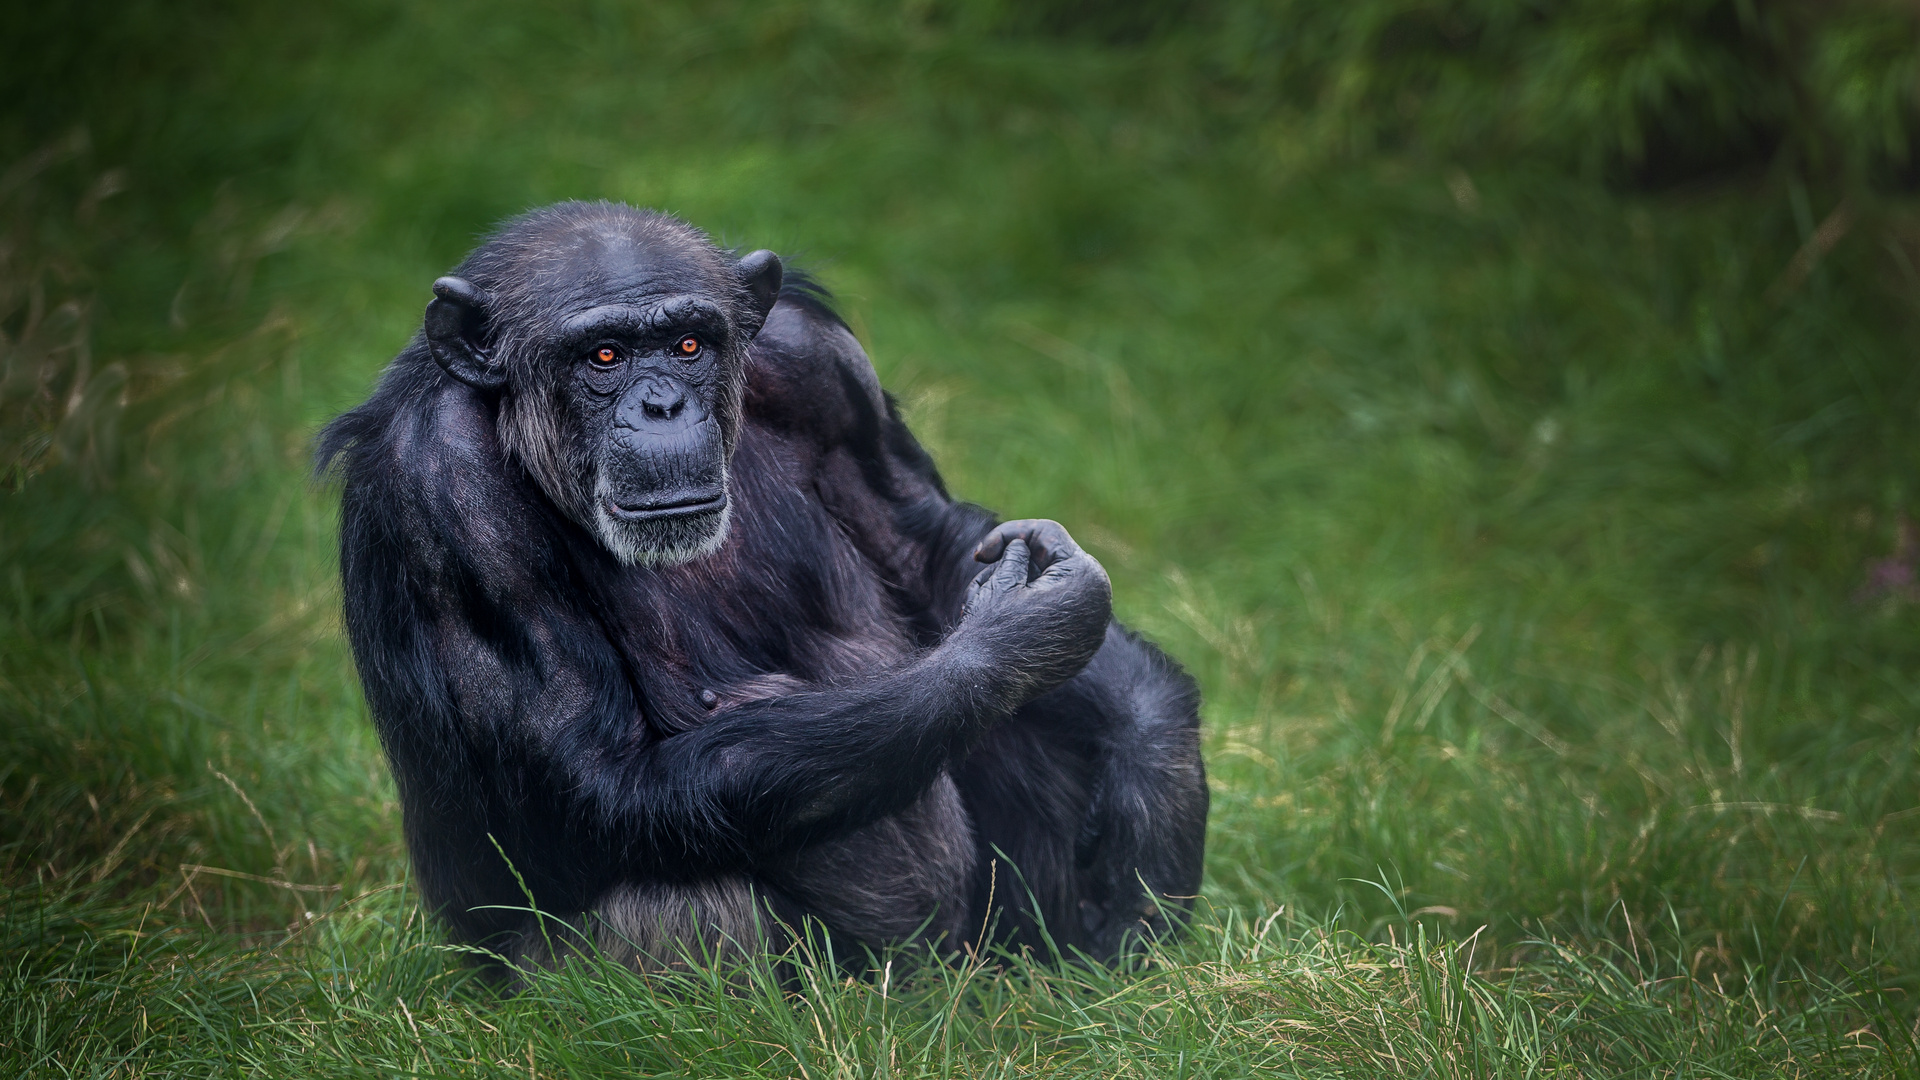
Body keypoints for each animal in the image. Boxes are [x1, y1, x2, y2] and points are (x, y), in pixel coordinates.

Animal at [320, 201, 1205, 968]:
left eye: (688, 345)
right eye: (603, 355)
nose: (664, 405)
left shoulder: (820, 363)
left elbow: (921, 544)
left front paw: (1150, 761)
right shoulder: (445, 486)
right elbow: (598, 777)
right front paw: (1014, 642)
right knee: (678, 897)